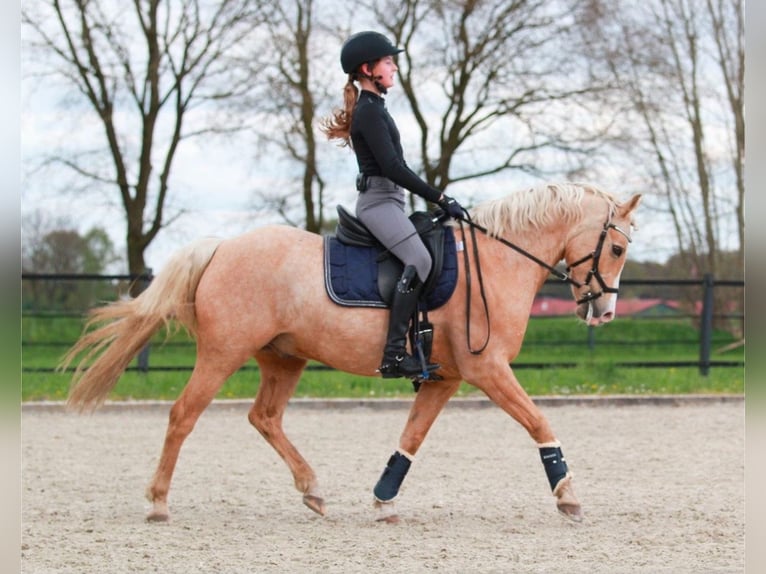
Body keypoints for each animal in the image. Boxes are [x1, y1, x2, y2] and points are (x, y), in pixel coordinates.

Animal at [63, 182, 644, 524]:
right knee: (184, 414)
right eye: (616, 248)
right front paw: (567, 494)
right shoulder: (487, 369)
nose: (604, 312)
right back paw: (159, 502)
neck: (499, 259)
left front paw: (384, 498)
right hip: (224, 353)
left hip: (283, 358)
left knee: (264, 417)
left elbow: (412, 437)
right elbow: (538, 421)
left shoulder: (446, 377)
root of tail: (222, 247)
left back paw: (313, 490)